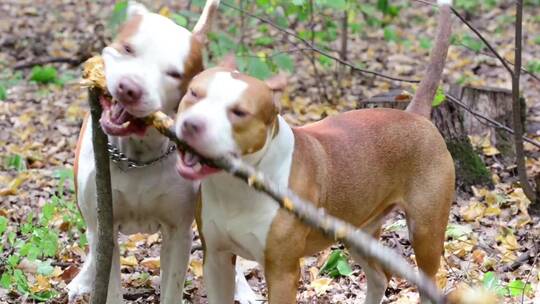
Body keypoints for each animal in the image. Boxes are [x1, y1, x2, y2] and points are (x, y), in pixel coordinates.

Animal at [67, 1, 258, 302]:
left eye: (174, 74)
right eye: (128, 49)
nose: (129, 88)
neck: (137, 157)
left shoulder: (177, 234)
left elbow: (172, 287)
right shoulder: (105, 226)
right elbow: (107, 278)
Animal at [173, 1, 456, 302]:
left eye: (239, 112)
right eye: (194, 93)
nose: (192, 124)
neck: (236, 185)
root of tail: (415, 116)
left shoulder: (282, 272)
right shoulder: (216, 259)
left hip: (426, 233)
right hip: (358, 231)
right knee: (380, 276)